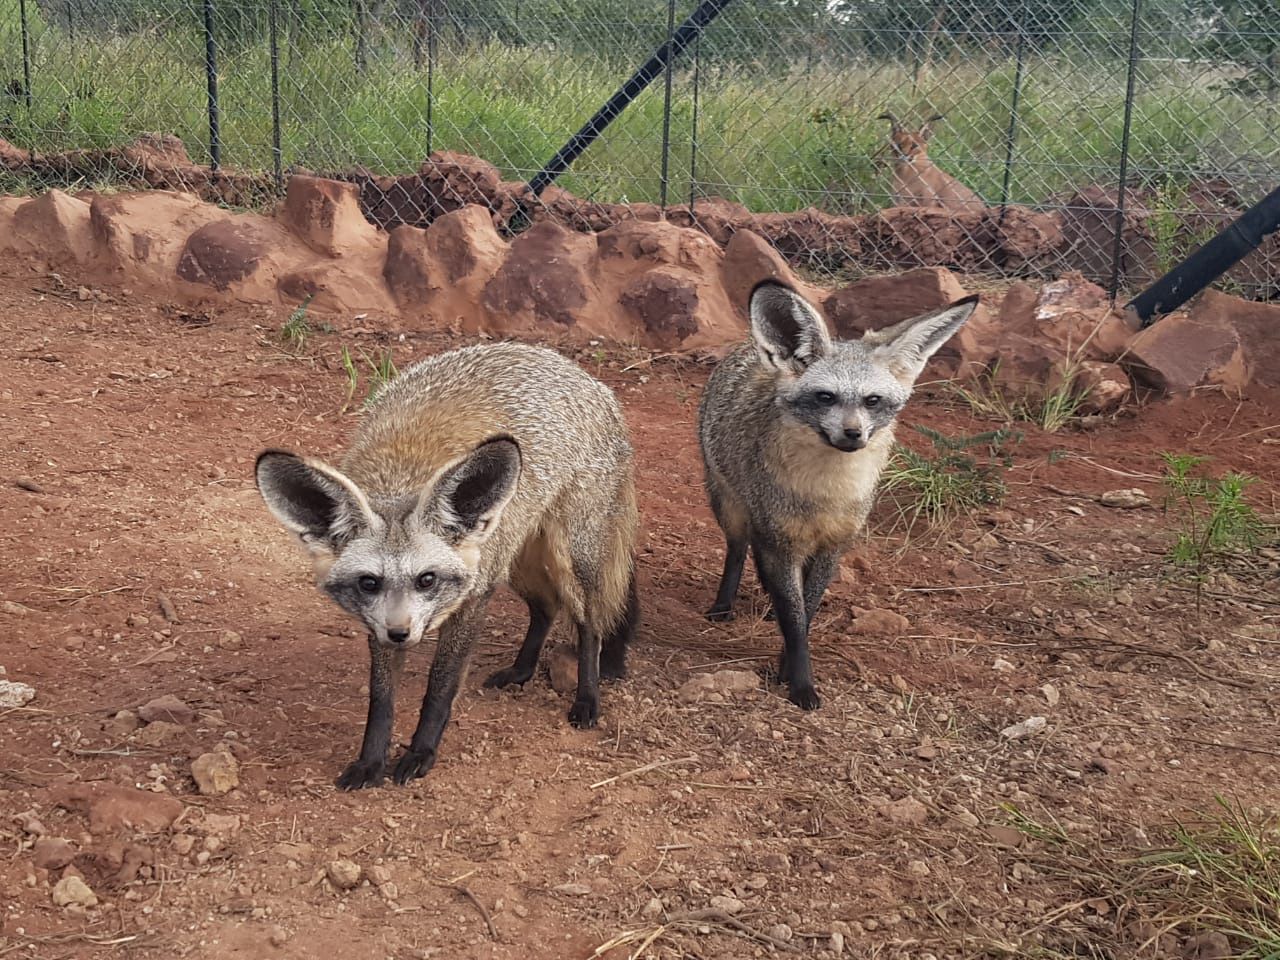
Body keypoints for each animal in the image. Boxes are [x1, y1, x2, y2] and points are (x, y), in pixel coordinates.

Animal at [256, 343, 640, 793]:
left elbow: (439, 687)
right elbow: (381, 699)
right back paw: (522, 670)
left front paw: (421, 752)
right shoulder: (381, 623)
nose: (401, 634)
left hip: (567, 560)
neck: (403, 474)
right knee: (545, 608)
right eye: (369, 583)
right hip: (518, 562)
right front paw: (371, 761)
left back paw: (587, 698)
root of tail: (580, 373)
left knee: (590, 625)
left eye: (427, 579)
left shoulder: (473, 596)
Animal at [696, 280, 972, 716]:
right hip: (730, 507)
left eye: (872, 401)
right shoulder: (783, 541)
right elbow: (794, 619)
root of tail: (745, 346)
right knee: (738, 551)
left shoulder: (833, 545)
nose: (853, 435)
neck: (824, 495)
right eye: (826, 398)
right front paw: (801, 684)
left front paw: (787, 667)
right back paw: (724, 605)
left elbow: (805, 612)